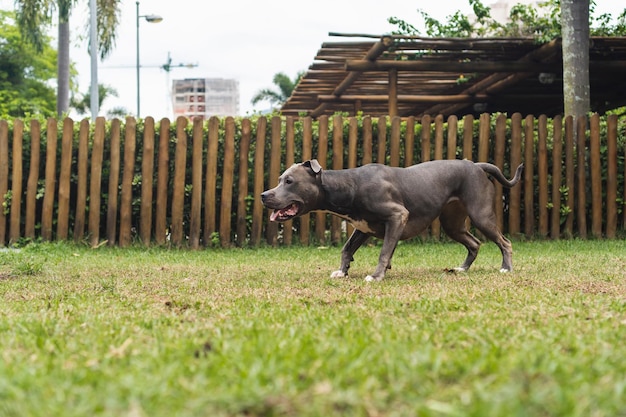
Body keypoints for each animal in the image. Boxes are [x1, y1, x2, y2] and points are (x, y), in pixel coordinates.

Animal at [258, 158, 520, 282]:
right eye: (280, 179)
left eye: (289, 181)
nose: (263, 195)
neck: (349, 186)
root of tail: (474, 164)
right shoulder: (362, 228)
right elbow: (346, 249)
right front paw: (342, 272)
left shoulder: (397, 216)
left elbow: (384, 252)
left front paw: (376, 276)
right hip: (452, 224)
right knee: (474, 243)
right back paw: (462, 268)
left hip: (481, 215)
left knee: (504, 242)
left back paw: (506, 268)